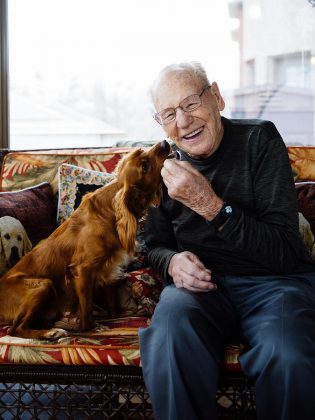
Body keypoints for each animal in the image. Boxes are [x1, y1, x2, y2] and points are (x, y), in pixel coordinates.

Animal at [0, 140, 170, 338]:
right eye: (144, 166)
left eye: (143, 151)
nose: (165, 143)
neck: (110, 212)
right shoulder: (83, 270)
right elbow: (86, 306)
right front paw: (91, 327)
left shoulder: (107, 269)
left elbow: (111, 303)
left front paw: (116, 316)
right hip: (43, 284)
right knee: (16, 329)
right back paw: (51, 333)